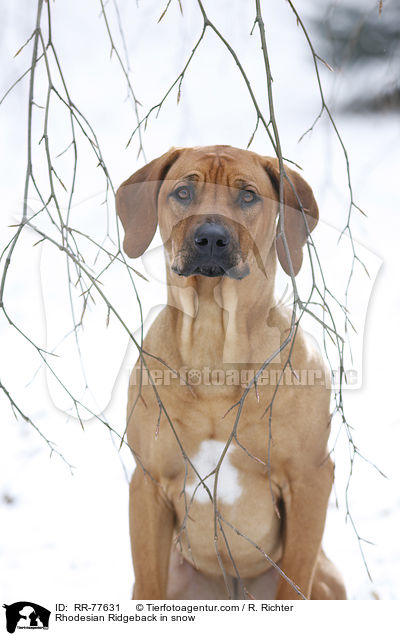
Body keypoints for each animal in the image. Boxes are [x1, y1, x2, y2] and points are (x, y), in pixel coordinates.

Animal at [115, 145, 346, 600]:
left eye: (248, 196)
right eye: (183, 192)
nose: (210, 238)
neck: (213, 343)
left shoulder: (310, 478)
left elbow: (295, 583)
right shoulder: (148, 483)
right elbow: (149, 580)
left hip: (327, 579)